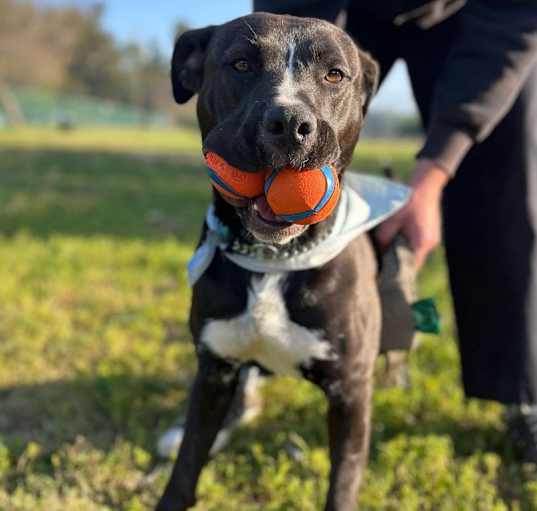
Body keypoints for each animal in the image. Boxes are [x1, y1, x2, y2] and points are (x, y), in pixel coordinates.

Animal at [158, 12, 382, 511]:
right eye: (241, 64)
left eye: (334, 74)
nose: (290, 121)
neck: (274, 260)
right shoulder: (214, 370)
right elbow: (188, 462)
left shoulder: (350, 392)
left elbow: (343, 479)